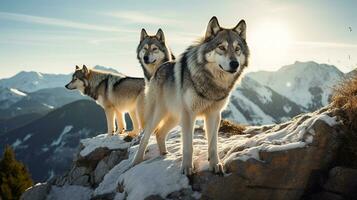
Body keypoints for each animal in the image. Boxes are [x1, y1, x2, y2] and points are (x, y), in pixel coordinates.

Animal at [131, 16, 250, 175]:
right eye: (222, 47)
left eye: (237, 49)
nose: (234, 64)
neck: (211, 83)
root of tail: (159, 68)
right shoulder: (189, 114)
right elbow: (188, 146)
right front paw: (187, 168)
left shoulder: (214, 115)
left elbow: (213, 145)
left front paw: (215, 165)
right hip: (159, 115)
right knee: (146, 136)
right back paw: (136, 161)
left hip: (175, 116)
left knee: (160, 133)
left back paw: (164, 154)